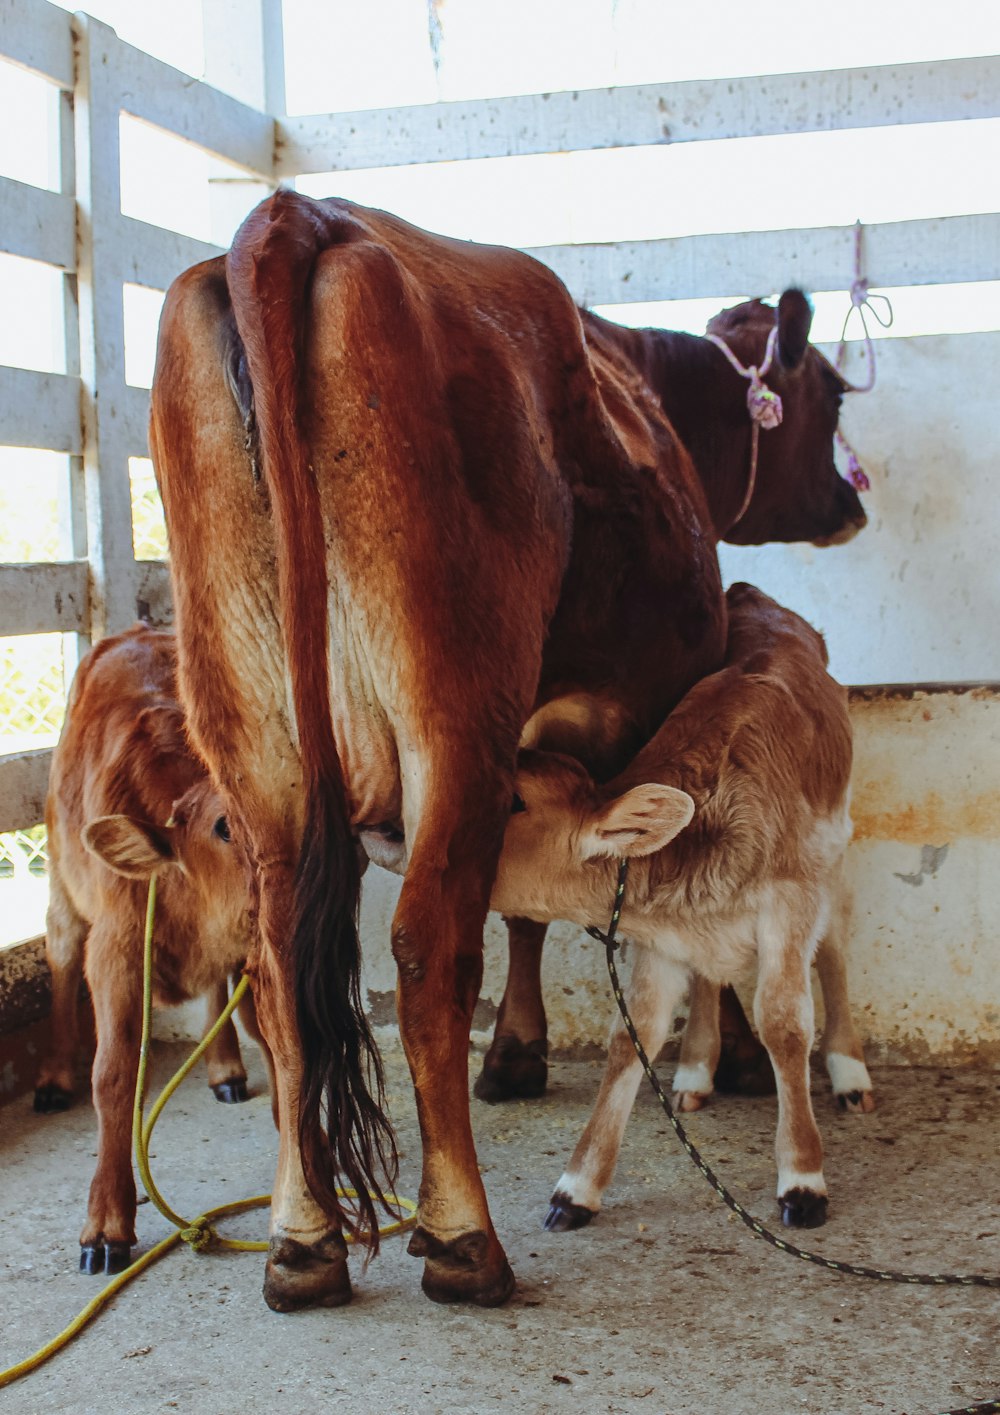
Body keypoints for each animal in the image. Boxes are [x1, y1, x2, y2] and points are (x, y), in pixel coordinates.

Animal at [34, 625, 274, 1279]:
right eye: (223, 826)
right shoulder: (114, 952)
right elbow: (114, 1073)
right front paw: (106, 1223)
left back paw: (225, 1068)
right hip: (61, 873)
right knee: (59, 948)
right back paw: (52, 1077)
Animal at [480, 580, 871, 1233]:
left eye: (512, 800)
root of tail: (756, 595)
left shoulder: (789, 902)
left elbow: (785, 1024)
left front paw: (802, 1179)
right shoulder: (658, 937)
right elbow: (631, 1034)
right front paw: (576, 1189)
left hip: (835, 850)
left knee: (836, 945)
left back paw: (849, 1073)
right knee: (710, 975)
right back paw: (695, 1069)